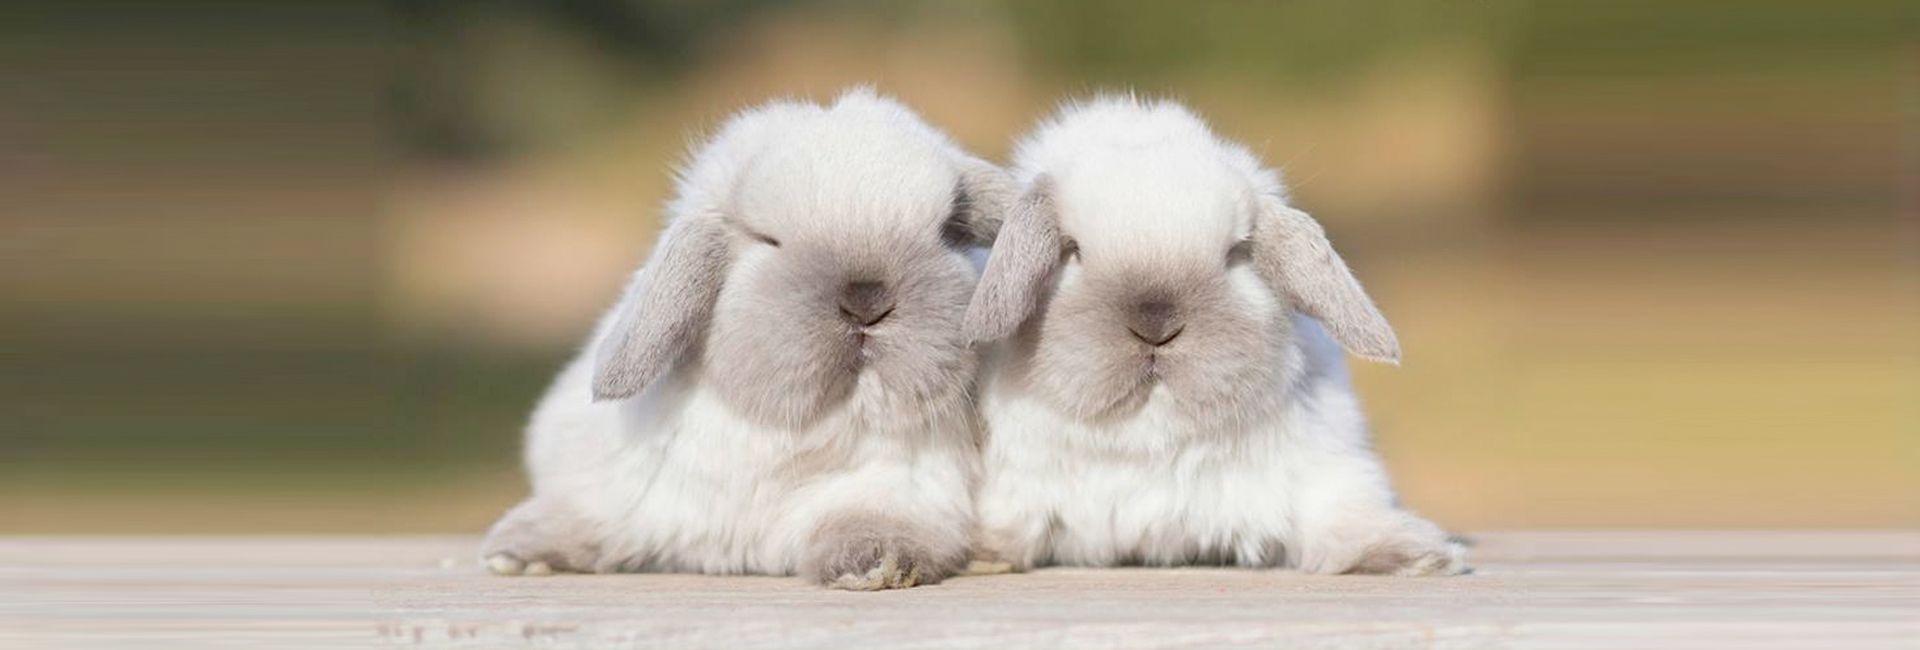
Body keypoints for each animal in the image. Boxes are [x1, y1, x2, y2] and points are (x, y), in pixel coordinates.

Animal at [480, 88, 1016, 590]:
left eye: (946, 232)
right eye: (767, 240)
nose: (867, 300)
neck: (786, 432)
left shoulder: (894, 491)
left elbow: (868, 521)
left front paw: (876, 564)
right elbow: (600, 521)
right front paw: (517, 552)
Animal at [962, 96, 1465, 576]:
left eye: (1236, 253)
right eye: (1073, 251)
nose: (1156, 327)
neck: (1150, 436)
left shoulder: (1324, 466)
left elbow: (1341, 513)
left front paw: (1415, 555)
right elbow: (1010, 523)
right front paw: (976, 553)